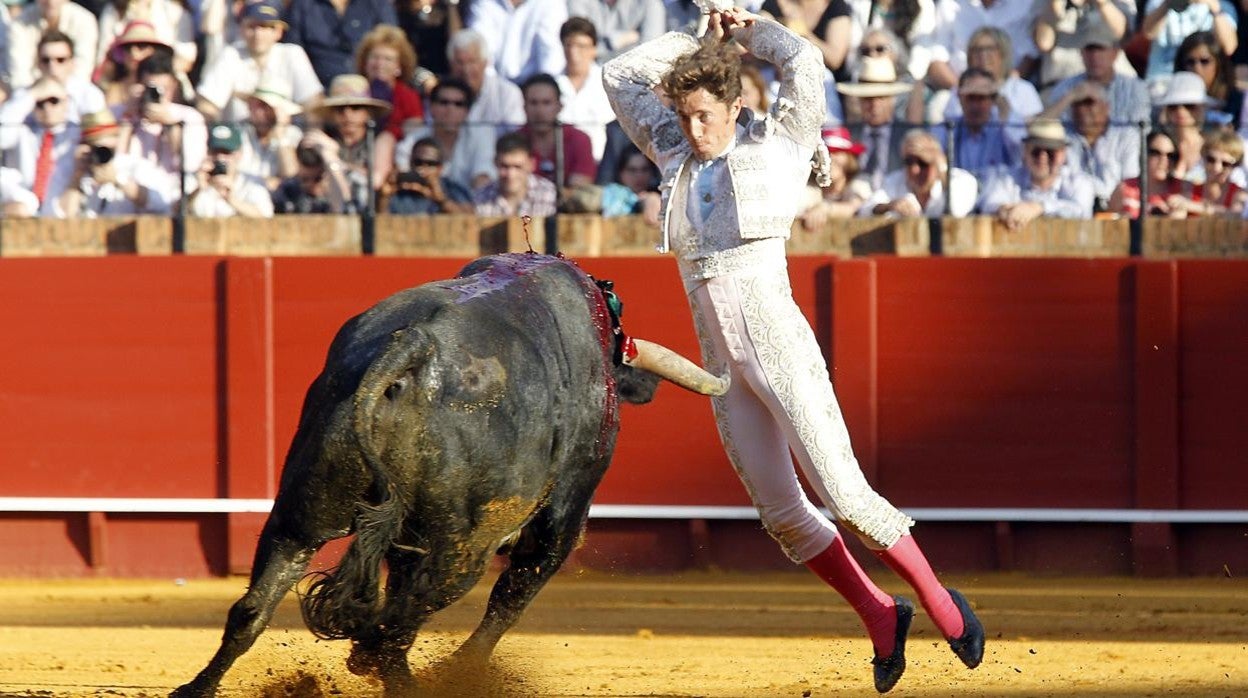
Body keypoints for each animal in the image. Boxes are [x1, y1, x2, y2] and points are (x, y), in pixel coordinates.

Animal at [170, 253, 728, 694]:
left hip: (302, 509)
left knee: (256, 605)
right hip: (461, 547)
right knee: (401, 621)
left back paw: (196, 688)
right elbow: (513, 595)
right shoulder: (564, 514)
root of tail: (413, 347)